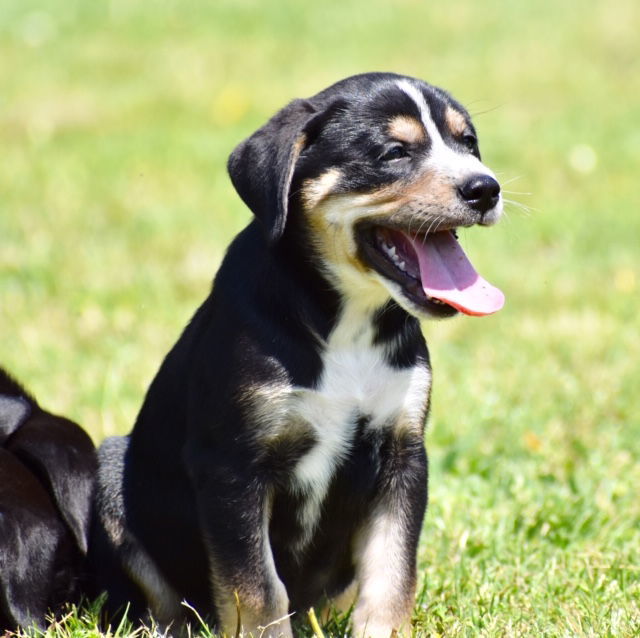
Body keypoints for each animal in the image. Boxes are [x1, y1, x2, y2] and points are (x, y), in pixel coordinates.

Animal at [92, 72, 504, 636]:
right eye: (394, 152)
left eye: (469, 144)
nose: (486, 188)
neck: (348, 327)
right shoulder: (233, 465)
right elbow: (259, 588)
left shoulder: (403, 455)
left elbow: (393, 573)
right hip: (113, 474)